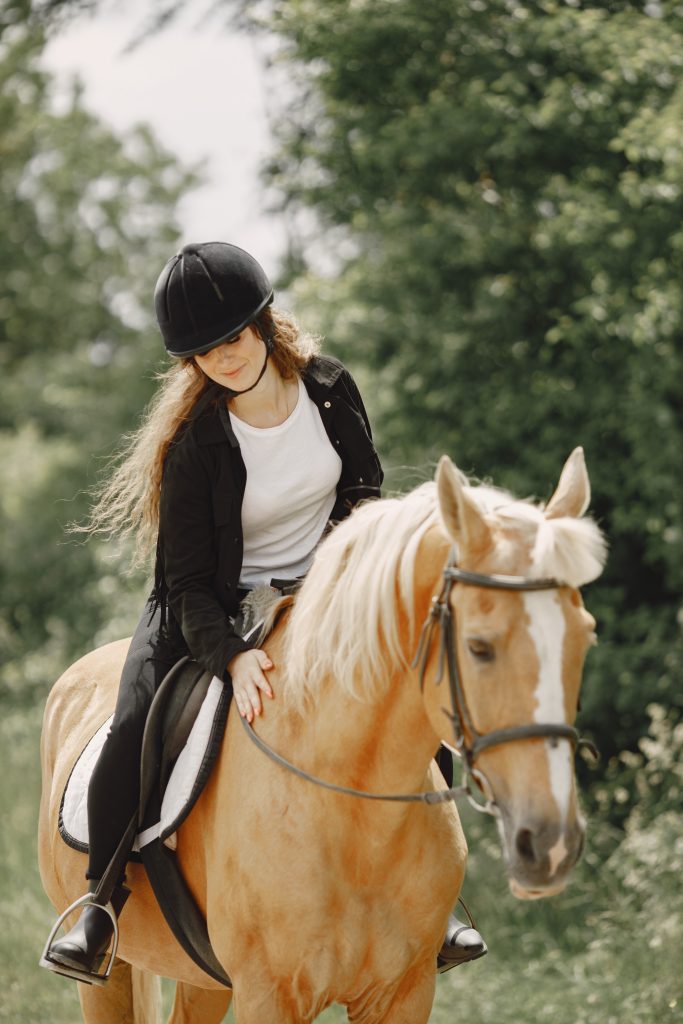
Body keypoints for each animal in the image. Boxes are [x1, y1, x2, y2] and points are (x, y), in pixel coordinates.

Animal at [38, 448, 606, 1024]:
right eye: (479, 647)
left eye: (586, 638)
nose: (551, 845)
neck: (354, 819)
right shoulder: (269, 995)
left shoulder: (403, 994)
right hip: (111, 976)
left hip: (204, 981)